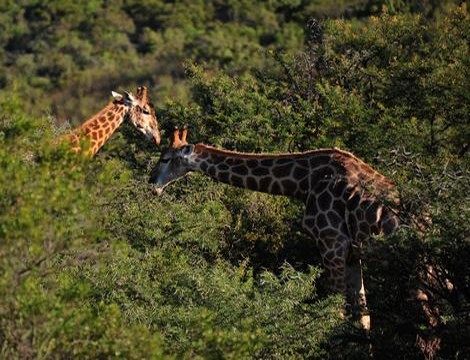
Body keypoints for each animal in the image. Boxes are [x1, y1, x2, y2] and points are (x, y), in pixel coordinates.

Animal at [150, 128, 400, 330]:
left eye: (165, 159)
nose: (152, 184)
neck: (304, 183)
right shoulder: (352, 253)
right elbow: (364, 319)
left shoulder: (332, 243)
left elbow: (336, 314)